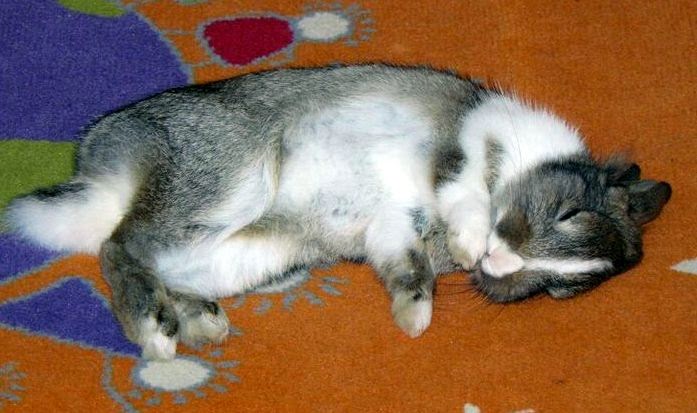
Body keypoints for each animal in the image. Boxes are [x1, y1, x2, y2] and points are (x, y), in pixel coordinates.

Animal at [5, 64, 671, 360]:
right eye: (567, 212)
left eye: (558, 290)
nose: (498, 262)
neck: (524, 169)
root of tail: (105, 172)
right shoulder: (466, 147)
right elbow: (466, 192)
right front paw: (464, 246)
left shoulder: (394, 228)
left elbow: (407, 269)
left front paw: (412, 317)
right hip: (227, 183)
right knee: (119, 246)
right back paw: (154, 328)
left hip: (255, 254)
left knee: (154, 261)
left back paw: (199, 323)